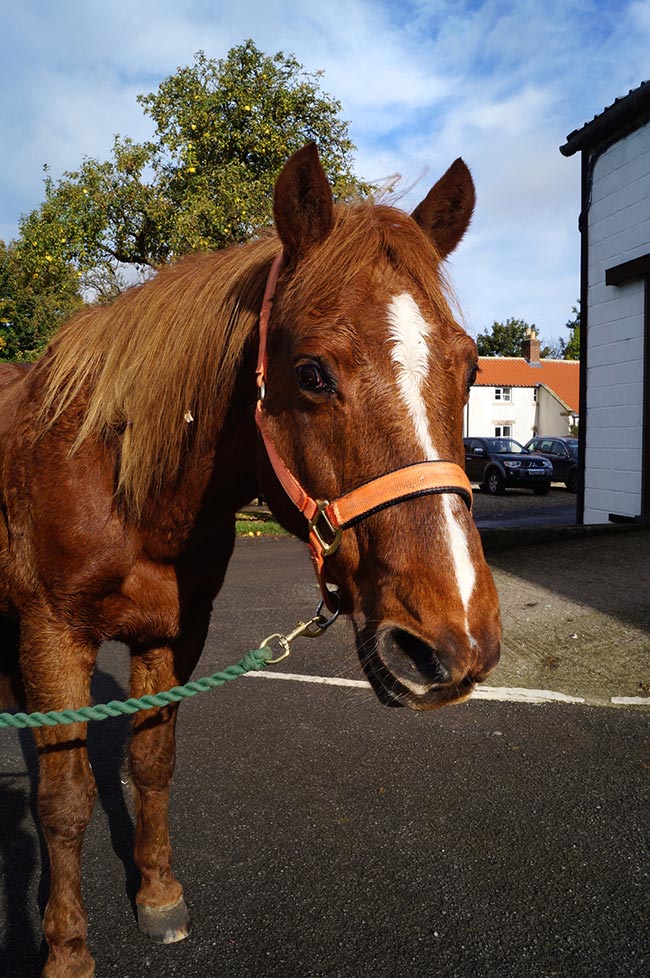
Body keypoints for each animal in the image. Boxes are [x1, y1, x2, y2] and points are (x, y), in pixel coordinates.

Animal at [0, 145, 498, 976]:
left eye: (470, 372)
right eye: (312, 373)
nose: (453, 641)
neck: (117, 478)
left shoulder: (172, 634)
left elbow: (153, 761)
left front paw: (158, 895)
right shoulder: (53, 633)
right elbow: (63, 801)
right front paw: (67, 949)